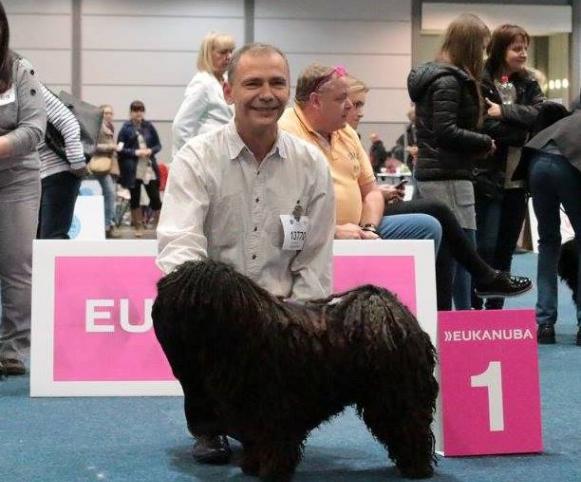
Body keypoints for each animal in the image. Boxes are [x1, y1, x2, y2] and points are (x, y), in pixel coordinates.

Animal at [152, 262, 438, 480]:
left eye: (188, 294)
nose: (158, 304)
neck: (243, 335)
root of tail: (391, 315)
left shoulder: (275, 409)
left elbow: (275, 442)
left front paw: (271, 472)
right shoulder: (251, 410)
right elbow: (256, 440)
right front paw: (252, 466)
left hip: (394, 397)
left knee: (411, 428)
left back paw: (417, 468)